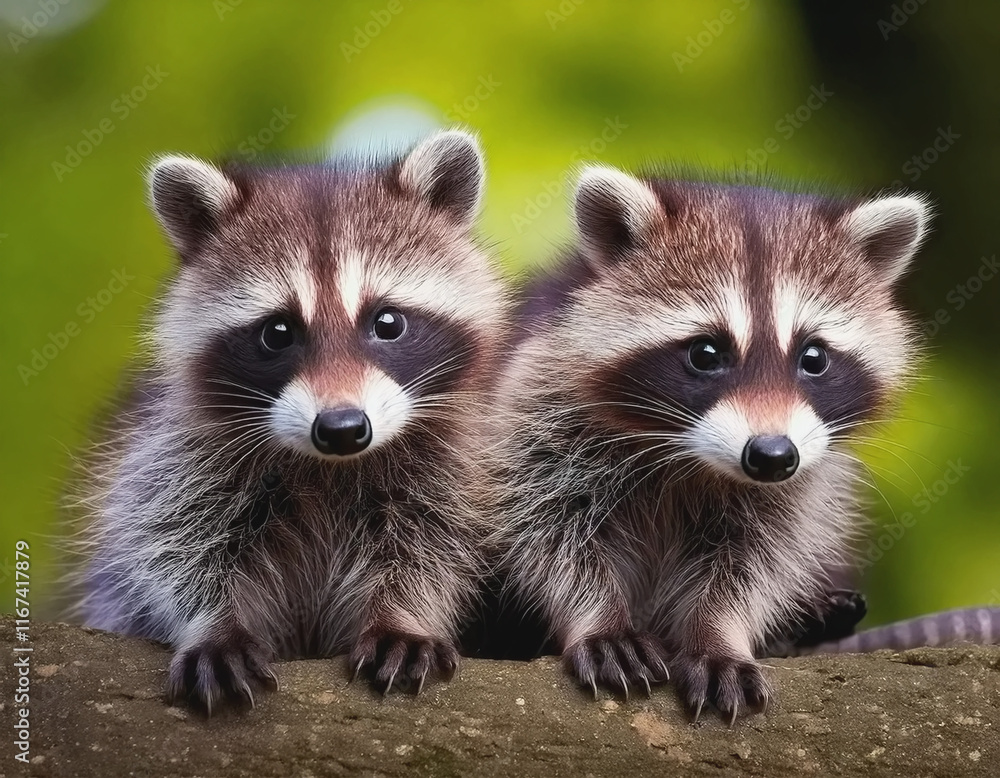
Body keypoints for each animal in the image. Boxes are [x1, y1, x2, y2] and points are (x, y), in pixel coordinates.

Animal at [70, 129, 509, 712]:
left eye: (388, 322)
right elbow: (172, 541)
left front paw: (403, 617)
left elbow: (432, 541)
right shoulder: (178, 454)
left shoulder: (450, 459)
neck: (330, 468)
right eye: (277, 332)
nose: (343, 428)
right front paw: (214, 625)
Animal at [493, 164, 934, 722]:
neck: (693, 460)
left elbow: (757, 558)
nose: (771, 456)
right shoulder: (536, 399)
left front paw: (718, 634)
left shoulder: (803, 477)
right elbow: (547, 532)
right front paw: (598, 617)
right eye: (706, 353)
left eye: (813, 358)